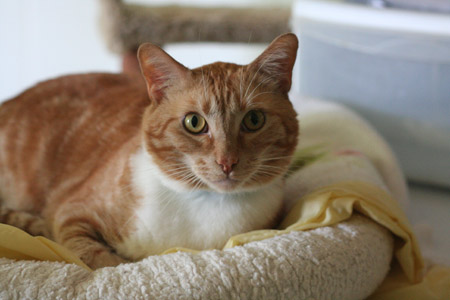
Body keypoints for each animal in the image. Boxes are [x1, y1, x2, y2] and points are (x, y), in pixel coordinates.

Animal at [0, 33, 302, 270]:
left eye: (254, 120)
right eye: (194, 122)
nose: (227, 162)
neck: (209, 204)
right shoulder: (70, 214)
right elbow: (100, 260)